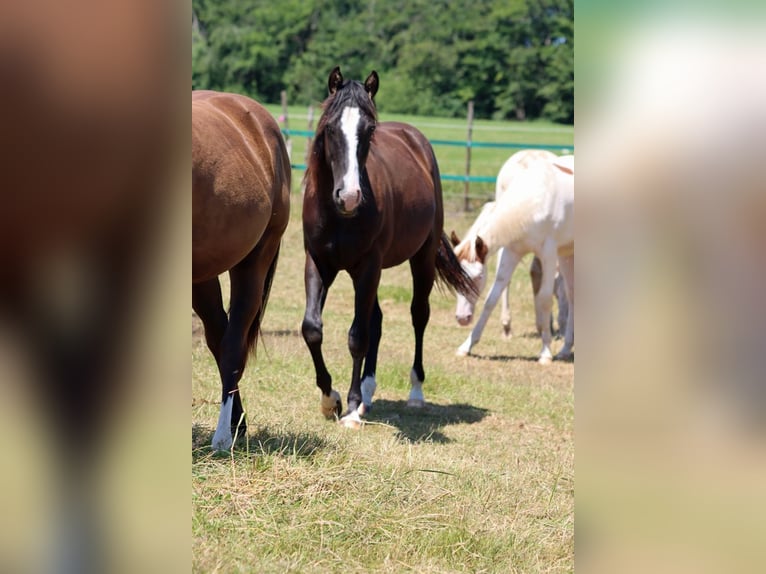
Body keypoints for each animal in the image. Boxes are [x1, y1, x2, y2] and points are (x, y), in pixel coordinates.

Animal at [192, 90, 291, 451]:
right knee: (219, 337)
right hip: (203, 275)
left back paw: (223, 436)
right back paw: (238, 423)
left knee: (232, 345)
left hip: (255, 260)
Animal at [301, 67, 476, 429]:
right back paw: (368, 396)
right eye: (330, 128)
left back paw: (414, 393)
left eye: (369, 130)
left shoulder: (368, 267)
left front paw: (350, 409)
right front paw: (330, 400)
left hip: (420, 259)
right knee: (377, 321)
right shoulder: (318, 262)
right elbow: (312, 328)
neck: (338, 215)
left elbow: (357, 336)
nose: (349, 196)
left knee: (418, 315)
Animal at [450, 150, 574, 363]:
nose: (462, 318)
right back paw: (566, 349)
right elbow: (492, 297)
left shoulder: (549, 254)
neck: (535, 201)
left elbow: (544, 299)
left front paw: (545, 352)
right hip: (568, 254)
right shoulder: (512, 252)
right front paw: (467, 346)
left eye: (478, 277)